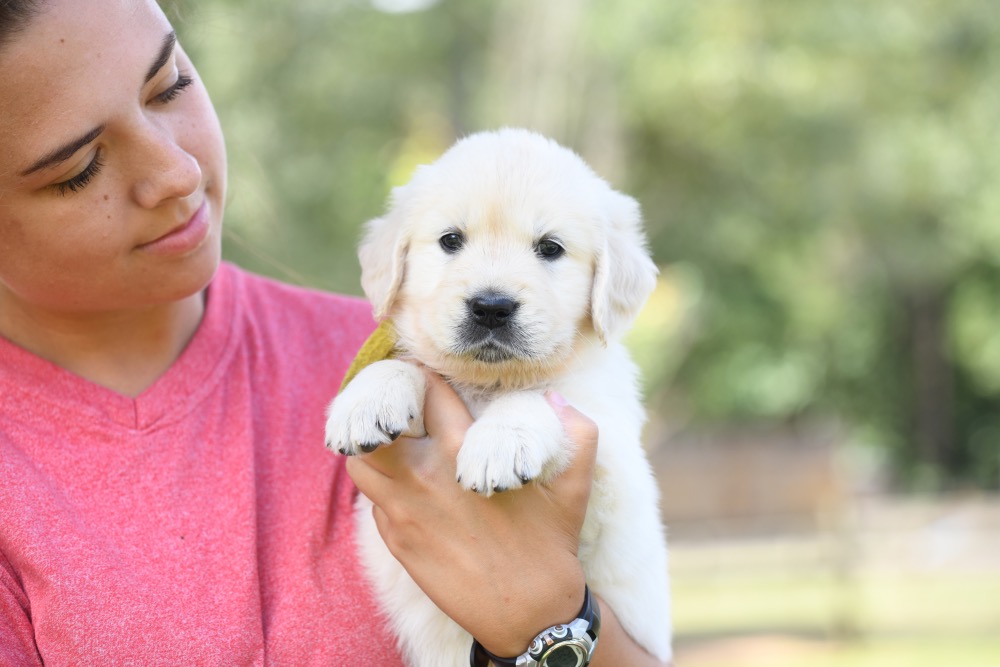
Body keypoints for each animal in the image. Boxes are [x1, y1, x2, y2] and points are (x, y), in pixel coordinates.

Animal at [328, 128, 672, 664]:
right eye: (451, 240)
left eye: (550, 248)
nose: (491, 307)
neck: (489, 383)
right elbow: (409, 366)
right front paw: (367, 401)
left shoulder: (611, 472)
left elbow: (540, 396)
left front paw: (499, 443)